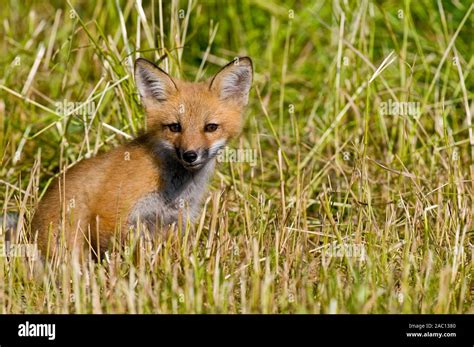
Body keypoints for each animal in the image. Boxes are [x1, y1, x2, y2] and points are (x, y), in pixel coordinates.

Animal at [29, 57, 254, 258]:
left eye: (211, 127)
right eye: (175, 127)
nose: (190, 155)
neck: (172, 190)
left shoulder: (174, 221)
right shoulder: (111, 214)